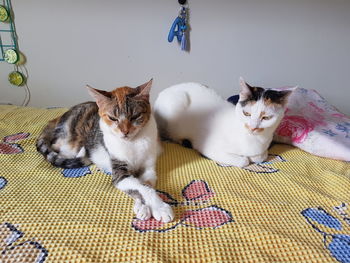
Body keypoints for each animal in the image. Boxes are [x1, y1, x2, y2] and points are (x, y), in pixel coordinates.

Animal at [36, 80, 174, 223]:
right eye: (113, 118)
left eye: (135, 116)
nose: (125, 131)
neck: (132, 143)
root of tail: (56, 118)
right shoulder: (119, 172)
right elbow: (142, 187)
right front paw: (160, 208)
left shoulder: (149, 168)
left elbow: (146, 184)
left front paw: (144, 206)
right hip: (69, 140)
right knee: (59, 146)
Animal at [154, 78, 292, 167]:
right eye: (246, 113)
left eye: (266, 118)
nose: (252, 128)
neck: (255, 141)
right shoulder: (209, 147)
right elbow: (244, 161)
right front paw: (246, 159)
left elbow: (261, 156)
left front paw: (255, 156)